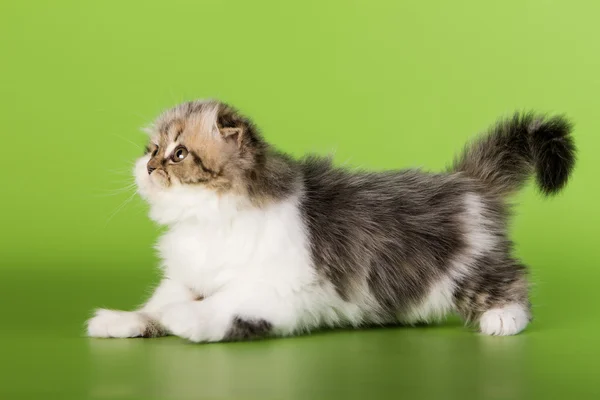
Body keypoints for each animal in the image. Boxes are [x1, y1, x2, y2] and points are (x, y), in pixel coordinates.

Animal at [85, 100, 576, 340]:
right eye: (152, 149)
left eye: (179, 153)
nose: (149, 167)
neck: (207, 221)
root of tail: (466, 180)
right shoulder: (184, 278)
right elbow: (152, 307)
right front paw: (119, 320)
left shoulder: (277, 289)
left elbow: (221, 307)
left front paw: (185, 319)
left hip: (468, 267)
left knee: (513, 277)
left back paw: (504, 319)